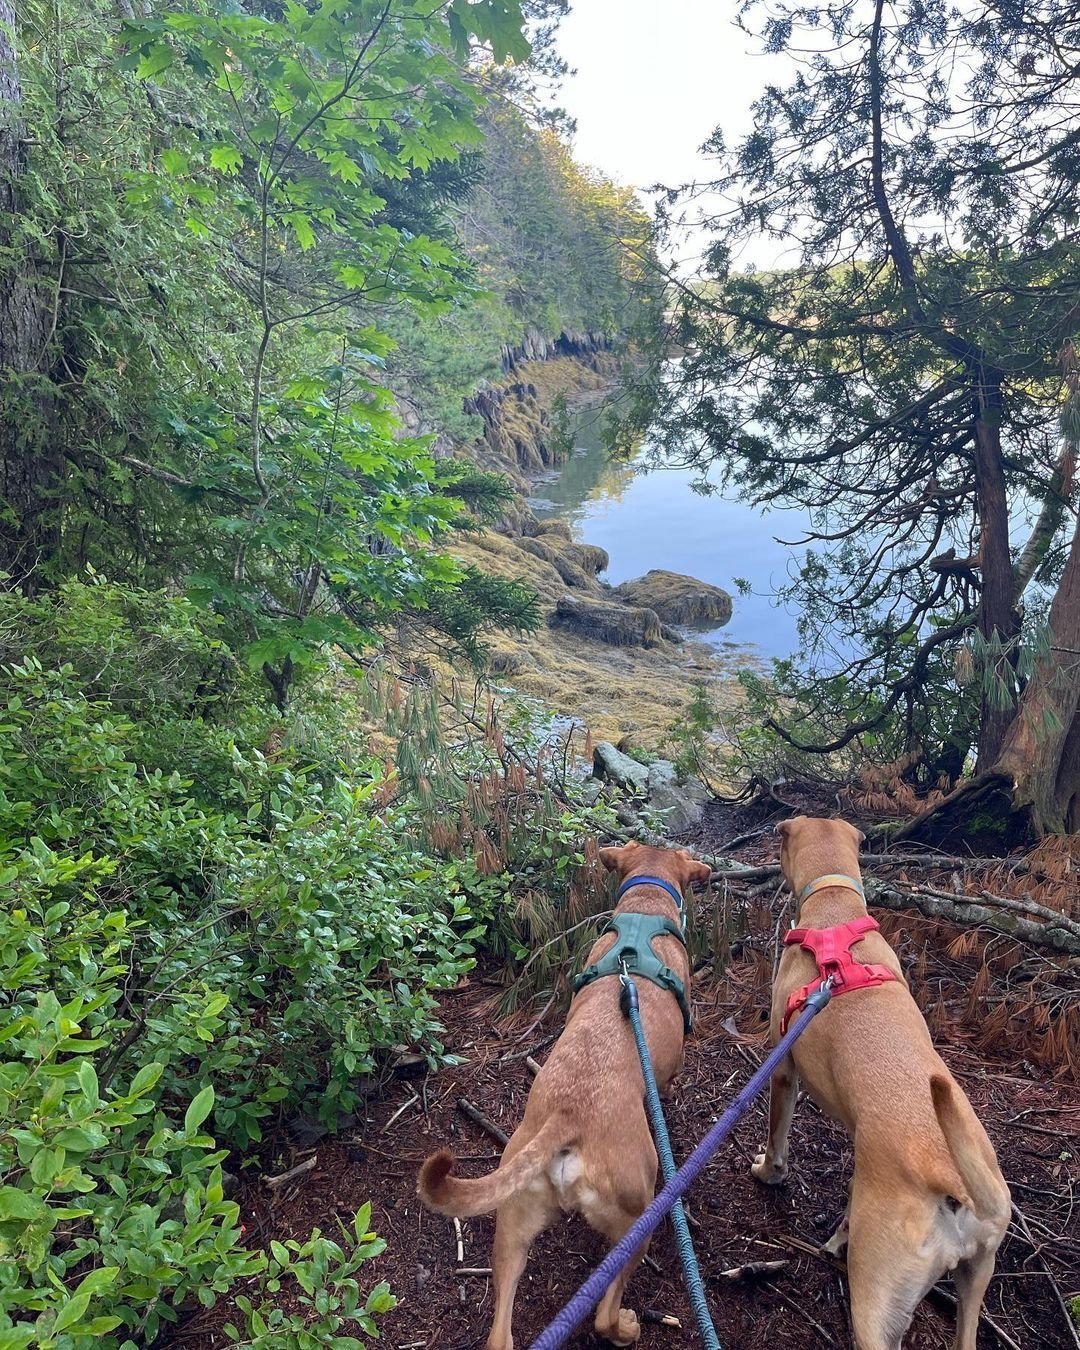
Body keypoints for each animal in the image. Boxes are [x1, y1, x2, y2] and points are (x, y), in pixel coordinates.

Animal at [415, 842, 707, 1350]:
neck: (645, 907)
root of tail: (568, 1119)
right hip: (637, 1220)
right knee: (604, 1314)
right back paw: (626, 1326)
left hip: (513, 1223)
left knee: (500, 1333)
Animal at [750, 815, 1015, 1344]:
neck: (834, 908)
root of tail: (950, 1182)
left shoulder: (784, 1067)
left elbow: (777, 1140)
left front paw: (768, 1173)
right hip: (976, 1278)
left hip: (875, 1302)